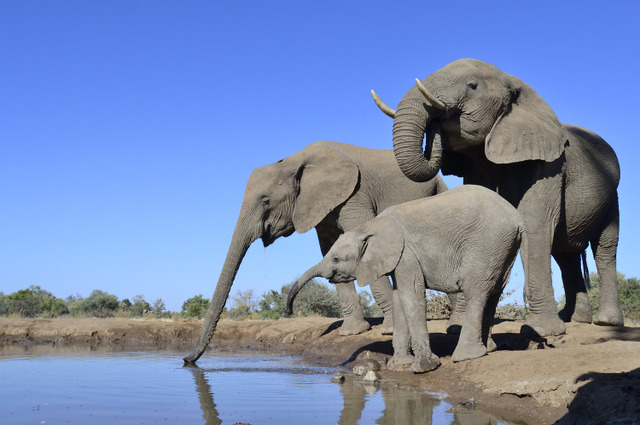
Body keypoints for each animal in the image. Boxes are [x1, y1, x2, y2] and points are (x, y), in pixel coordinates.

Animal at [182, 141, 448, 362]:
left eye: (266, 201)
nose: (187, 360)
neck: (294, 161)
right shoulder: (320, 205)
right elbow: (327, 249)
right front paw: (351, 333)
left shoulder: (355, 194)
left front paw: (388, 330)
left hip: (437, 189)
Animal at [286, 185, 524, 372]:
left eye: (335, 258)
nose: (288, 313)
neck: (369, 227)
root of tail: (517, 218)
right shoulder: (397, 258)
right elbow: (398, 297)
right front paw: (400, 364)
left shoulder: (406, 253)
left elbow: (412, 296)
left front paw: (424, 368)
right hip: (504, 248)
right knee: (494, 292)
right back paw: (488, 349)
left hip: (486, 244)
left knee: (476, 291)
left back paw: (465, 356)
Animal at [372, 58, 624, 336]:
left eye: (472, 85)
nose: (435, 125)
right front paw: (458, 329)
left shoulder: (549, 163)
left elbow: (534, 223)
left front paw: (542, 332)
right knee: (565, 254)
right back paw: (573, 319)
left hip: (612, 198)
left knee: (604, 248)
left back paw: (606, 322)